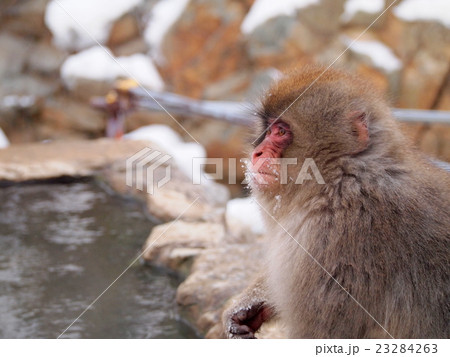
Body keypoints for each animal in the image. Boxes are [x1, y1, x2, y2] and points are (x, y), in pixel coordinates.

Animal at [223, 66, 450, 336]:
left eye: (281, 132)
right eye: (268, 129)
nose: (257, 153)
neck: (340, 181)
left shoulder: (336, 243)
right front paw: (251, 304)